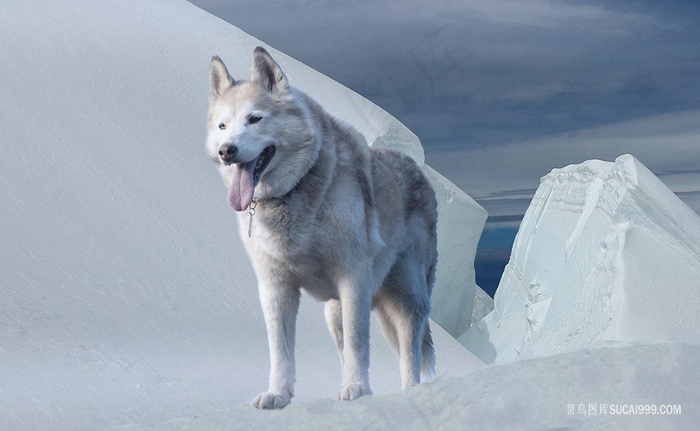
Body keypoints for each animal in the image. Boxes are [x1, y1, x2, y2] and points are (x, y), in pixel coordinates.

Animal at [206, 48, 438, 412]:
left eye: (255, 119)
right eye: (223, 125)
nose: (226, 150)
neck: (292, 194)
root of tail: (416, 167)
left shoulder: (353, 277)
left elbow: (359, 343)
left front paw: (357, 388)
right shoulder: (275, 288)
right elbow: (280, 350)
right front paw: (278, 395)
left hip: (406, 296)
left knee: (409, 353)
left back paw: (408, 392)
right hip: (334, 310)